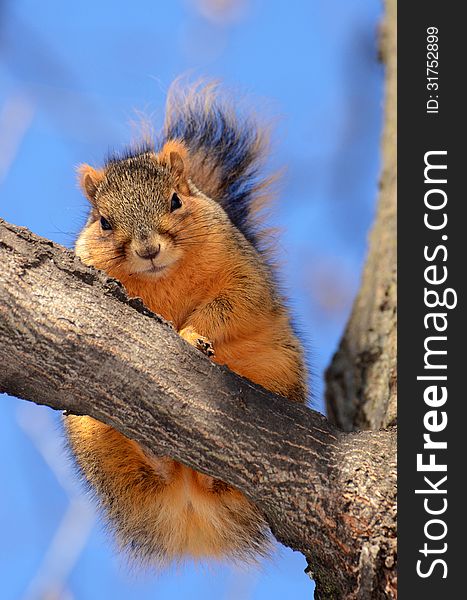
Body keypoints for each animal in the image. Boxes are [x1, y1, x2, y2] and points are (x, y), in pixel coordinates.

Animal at [64, 82, 308, 564]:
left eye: (176, 200)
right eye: (104, 222)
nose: (148, 249)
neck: (164, 277)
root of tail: (190, 500)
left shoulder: (244, 275)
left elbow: (231, 308)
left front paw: (192, 335)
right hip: (90, 433)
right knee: (149, 471)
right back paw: (152, 451)